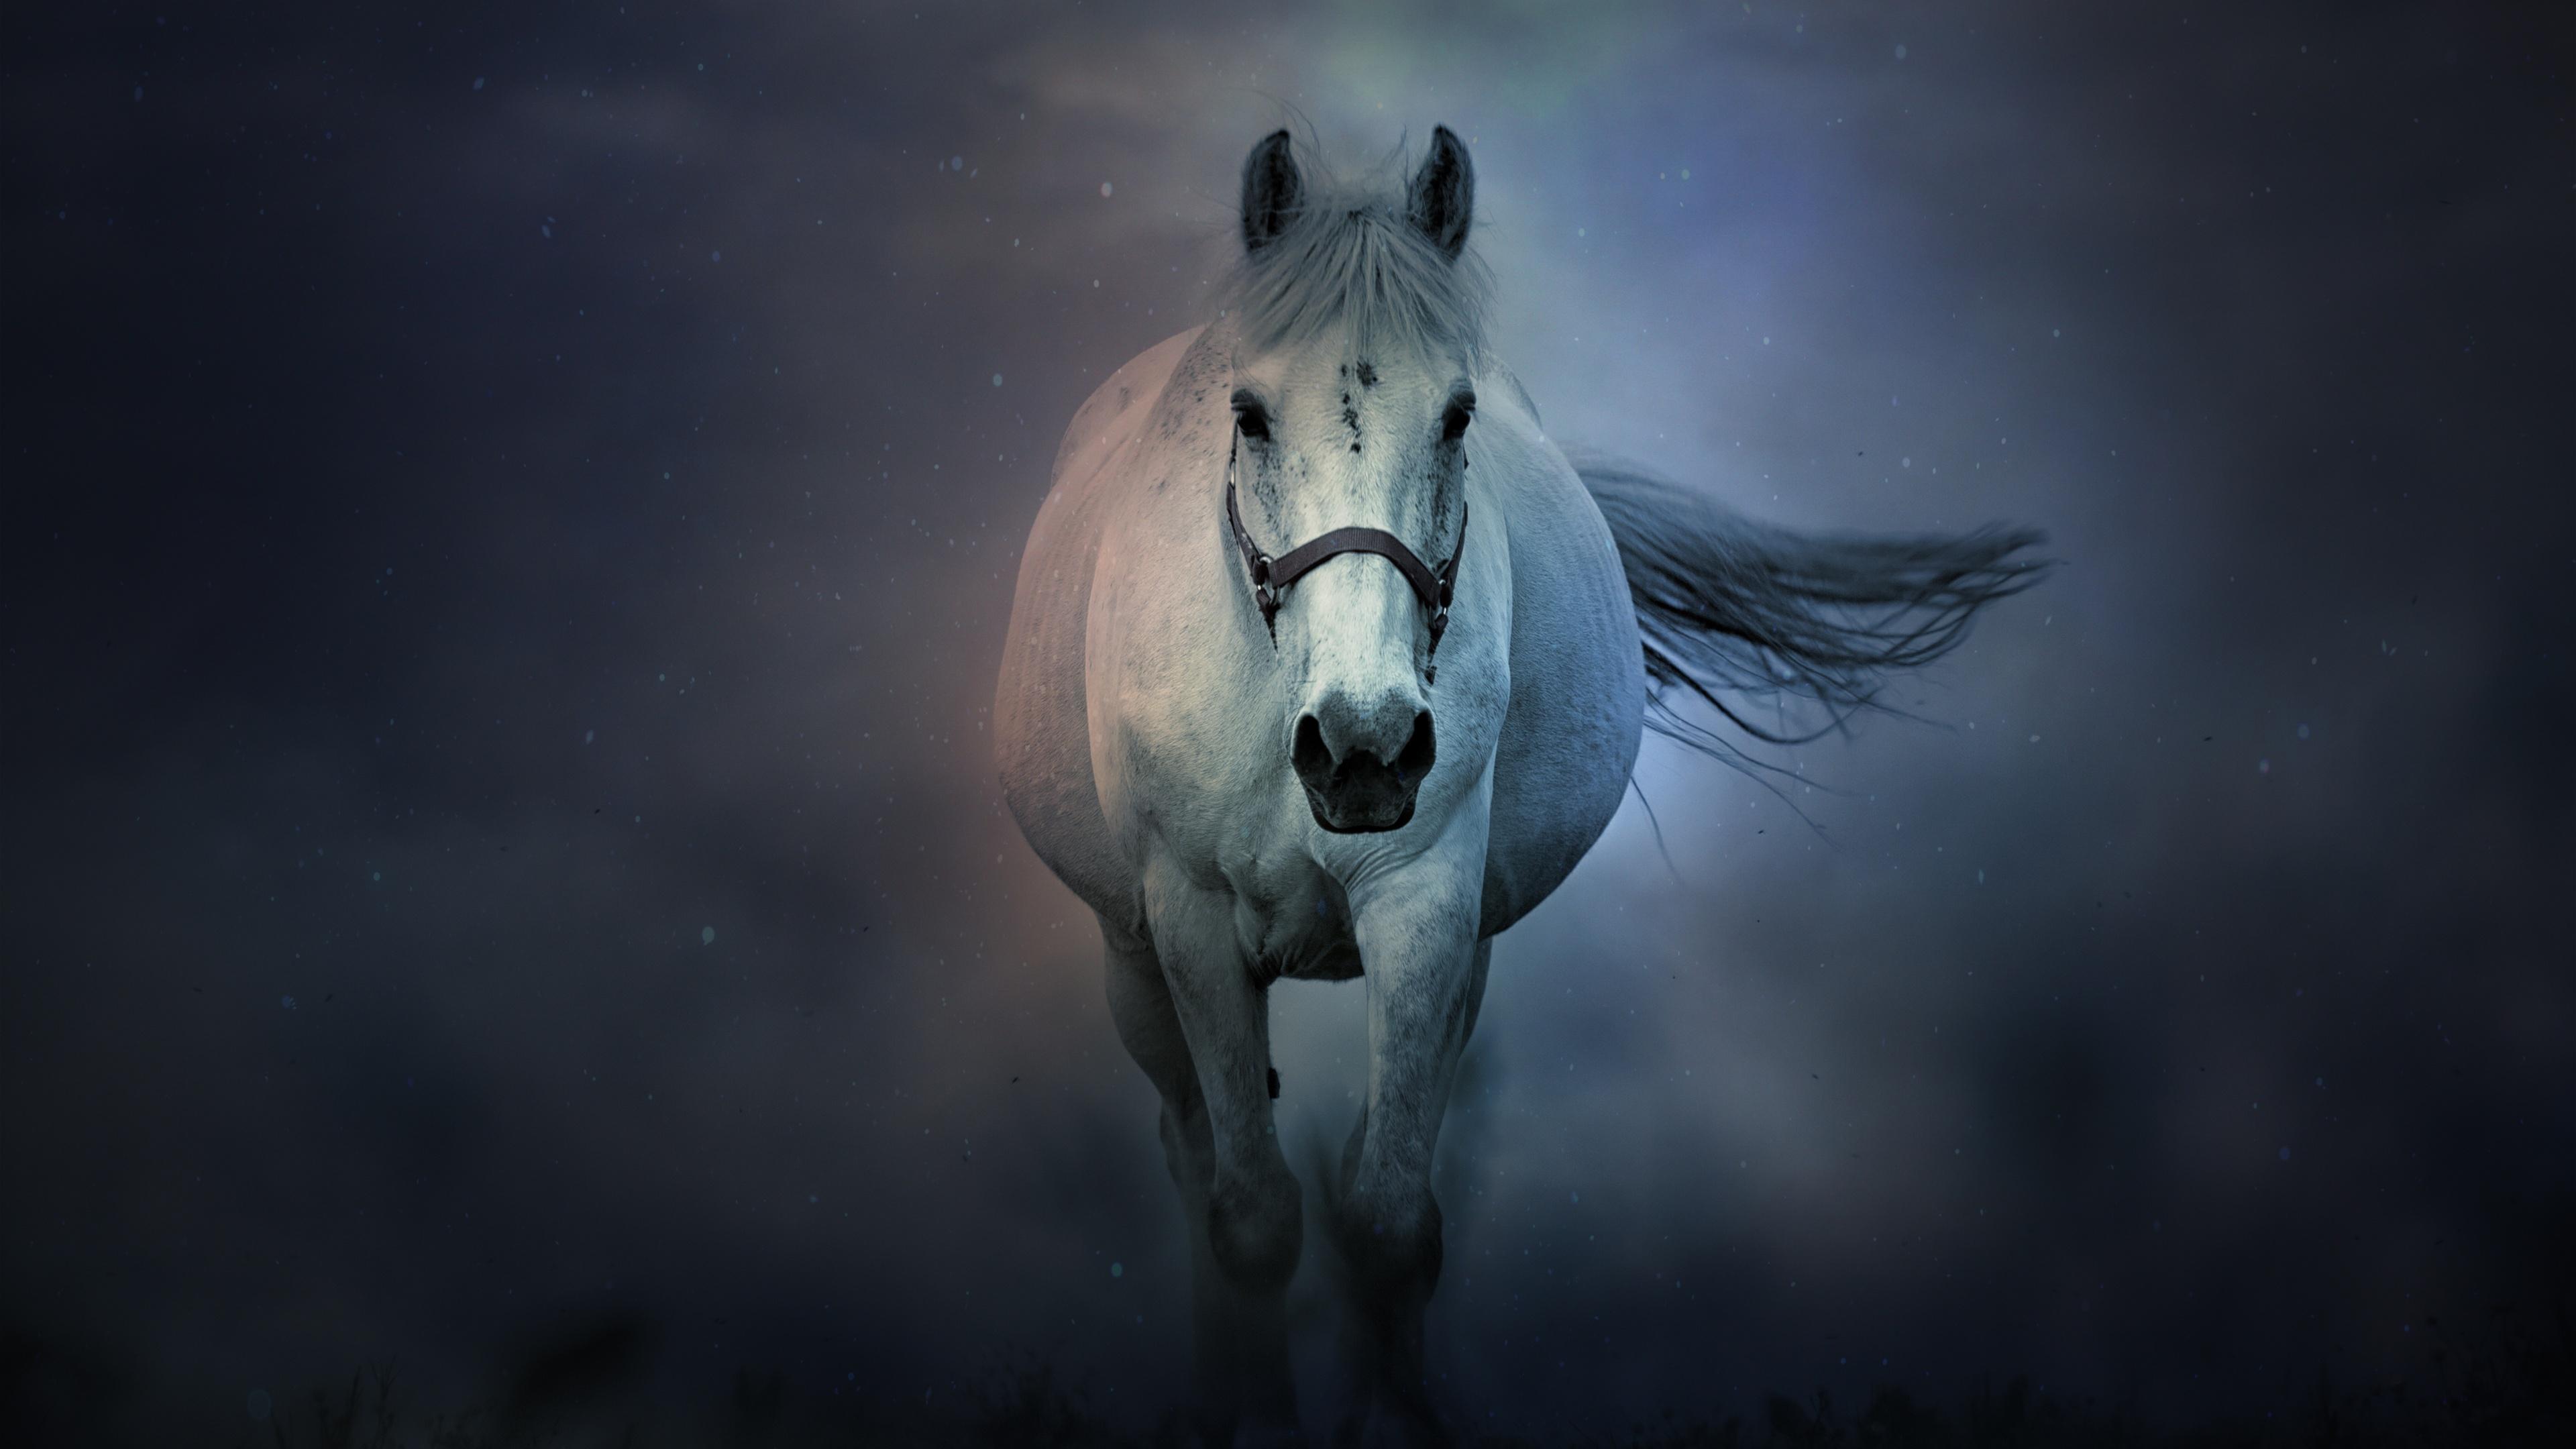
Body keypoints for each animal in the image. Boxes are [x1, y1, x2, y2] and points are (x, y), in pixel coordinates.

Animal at [994, 125, 2046, 1447]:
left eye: (1458, 416)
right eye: (1247, 413)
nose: (1363, 747)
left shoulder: (1429, 905)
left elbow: (1388, 1221)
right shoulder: (1189, 924)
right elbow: (1254, 1220)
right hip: (1131, 960)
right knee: (1195, 1163)